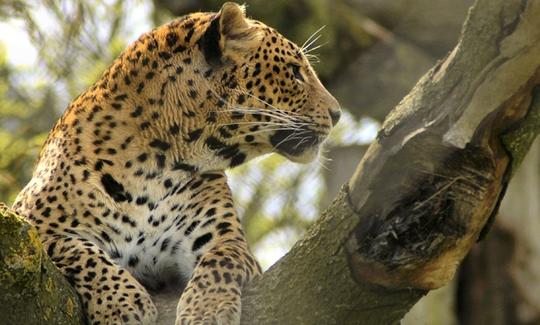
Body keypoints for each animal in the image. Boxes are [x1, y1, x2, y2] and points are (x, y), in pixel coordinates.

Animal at [11, 3, 342, 324]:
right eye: (295, 72)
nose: (337, 113)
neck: (156, 165)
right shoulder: (33, 223)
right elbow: (76, 250)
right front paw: (121, 303)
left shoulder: (227, 241)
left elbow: (222, 259)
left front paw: (208, 308)